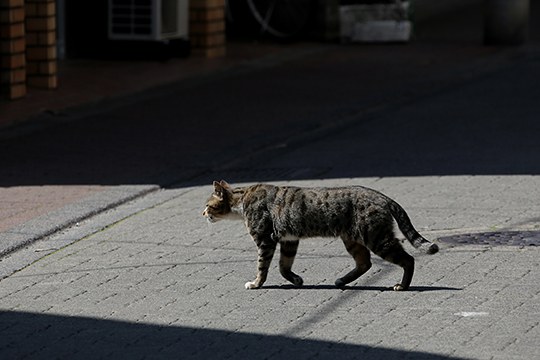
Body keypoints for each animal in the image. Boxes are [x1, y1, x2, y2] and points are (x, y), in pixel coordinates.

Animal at [204, 179, 438, 292]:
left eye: (207, 205)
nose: (202, 213)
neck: (242, 200)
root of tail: (382, 196)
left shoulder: (265, 239)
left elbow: (263, 266)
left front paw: (256, 283)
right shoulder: (289, 240)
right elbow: (283, 266)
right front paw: (296, 279)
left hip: (376, 237)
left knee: (408, 259)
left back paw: (402, 285)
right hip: (352, 239)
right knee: (365, 262)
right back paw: (342, 280)